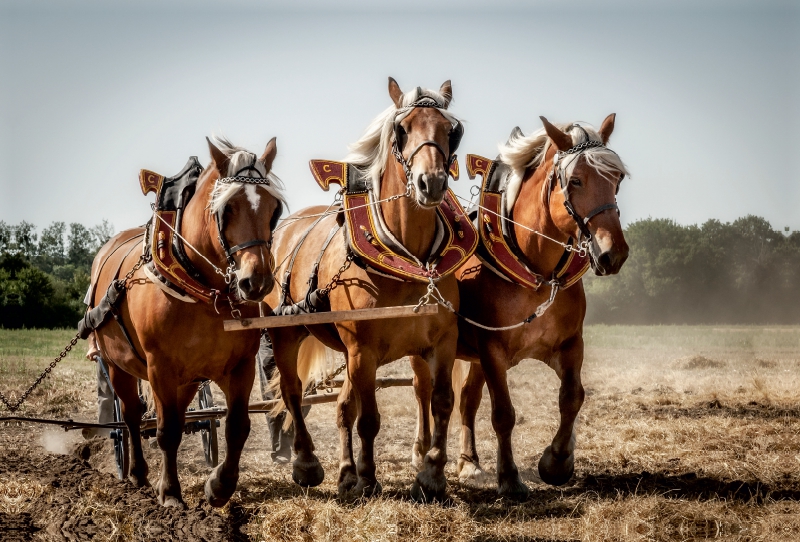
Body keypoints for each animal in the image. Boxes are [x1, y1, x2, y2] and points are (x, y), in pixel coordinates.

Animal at [86, 137, 286, 510]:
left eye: (273, 208)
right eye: (227, 208)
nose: (256, 281)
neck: (202, 284)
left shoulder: (239, 367)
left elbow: (237, 426)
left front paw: (219, 486)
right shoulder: (160, 366)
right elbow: (166, 431)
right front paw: (170, 494)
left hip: (188, 378)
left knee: (177, 416)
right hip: (118, 365)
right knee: (132, 418)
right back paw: (137, 474)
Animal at [262, 78, 462, 504]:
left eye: (451, 130)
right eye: (402, 129)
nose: (432, 182)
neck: (405, 255)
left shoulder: (441, 341)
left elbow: (441, 401)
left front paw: (432, 475)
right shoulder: (362, 350)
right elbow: (369, 418)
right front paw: (370, 479)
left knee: (341, 407)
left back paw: (345, 473)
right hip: (287, 334)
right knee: (292, 392)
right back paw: (308, 464)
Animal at [412, 115, 632, 502]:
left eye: (616, 179)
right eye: (575, 180)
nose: (612, 253)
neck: (536, 267)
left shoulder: (570, 345)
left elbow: (572, 397)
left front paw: (557, 462)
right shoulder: (492, 349)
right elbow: (503, 413)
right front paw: (510, 478)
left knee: (467, 399)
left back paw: (469, 462)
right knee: (424, 392)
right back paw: (422, 451)